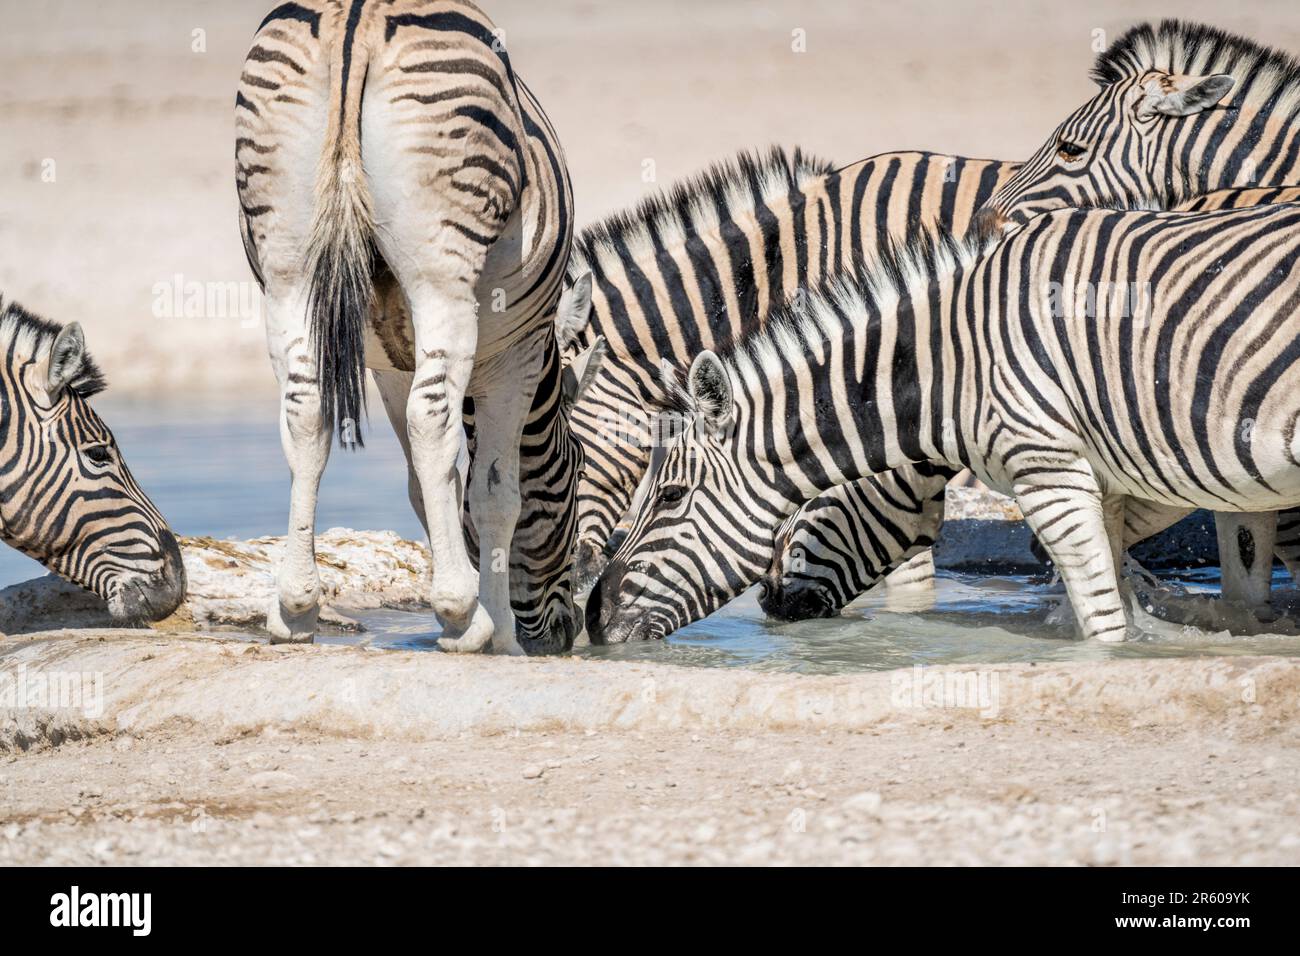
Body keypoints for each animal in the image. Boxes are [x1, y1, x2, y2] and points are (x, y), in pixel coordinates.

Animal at [236, 1, 599, 654]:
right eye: (577, 467)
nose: (564, 636)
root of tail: (356, 19)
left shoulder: (389, 369)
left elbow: (433, 484)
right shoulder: (517, 356)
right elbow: (493, 492)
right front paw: (493, 630)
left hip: (284, 269)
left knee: (305, 414)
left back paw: (294, 608)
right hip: (442, 271)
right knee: (432, 421)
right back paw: (461, 615)